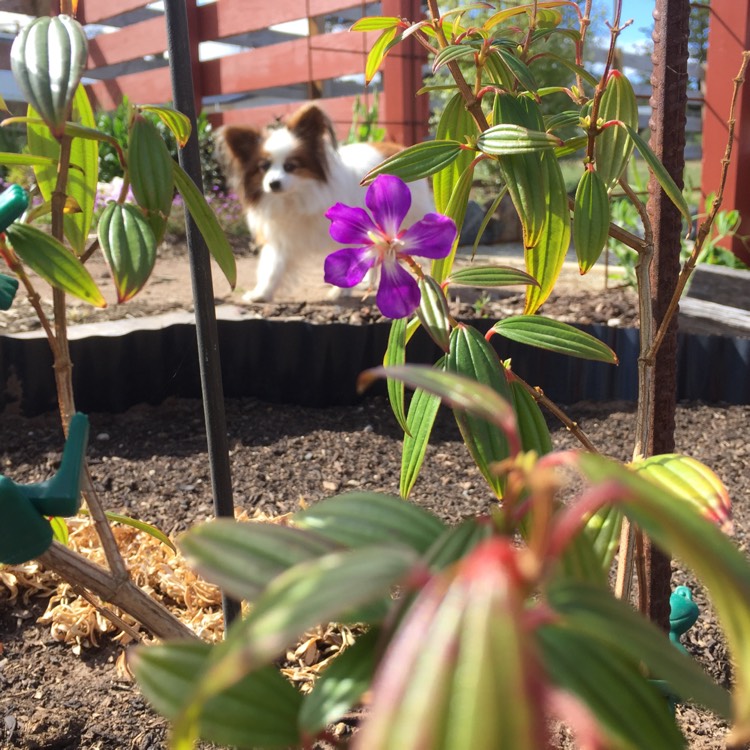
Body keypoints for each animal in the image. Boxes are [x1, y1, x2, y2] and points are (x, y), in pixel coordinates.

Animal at [217, 103, 434, 302]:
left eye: (290, 166)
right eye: (264, 167)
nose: (273, 183)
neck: (296, 197)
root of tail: (402, 149)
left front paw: (340, 291)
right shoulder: (281, 239)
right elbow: (272, 267)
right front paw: (261, 294)